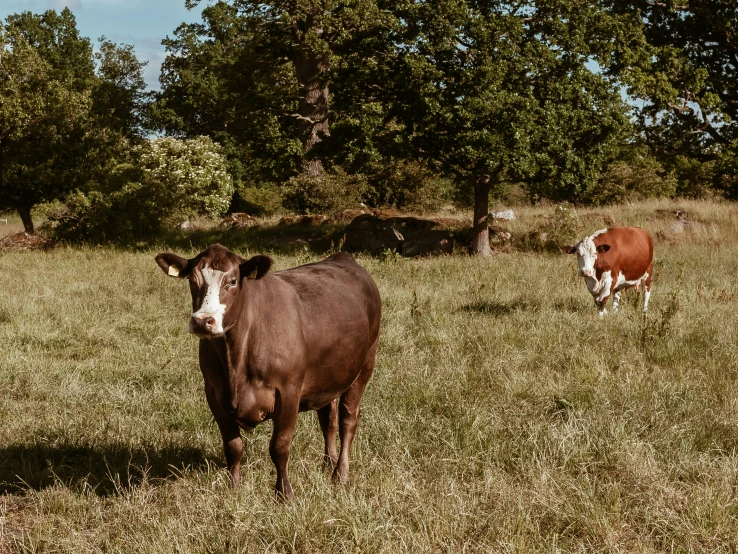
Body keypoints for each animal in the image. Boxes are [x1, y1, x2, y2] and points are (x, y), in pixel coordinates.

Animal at [155, 244, 380, 498]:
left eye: (232, 281)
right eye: (192, 281)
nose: (203, 321)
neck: (236, 359)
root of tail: (343, 258)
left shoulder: (288, 391)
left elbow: (280, 447)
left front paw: (284, 493)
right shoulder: (213, 392)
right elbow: (233, 446)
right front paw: (234, 488)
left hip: (365, 364)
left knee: (347, 421)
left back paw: (340, 474)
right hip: (329, 375)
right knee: (328, 419)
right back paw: (327, 464)